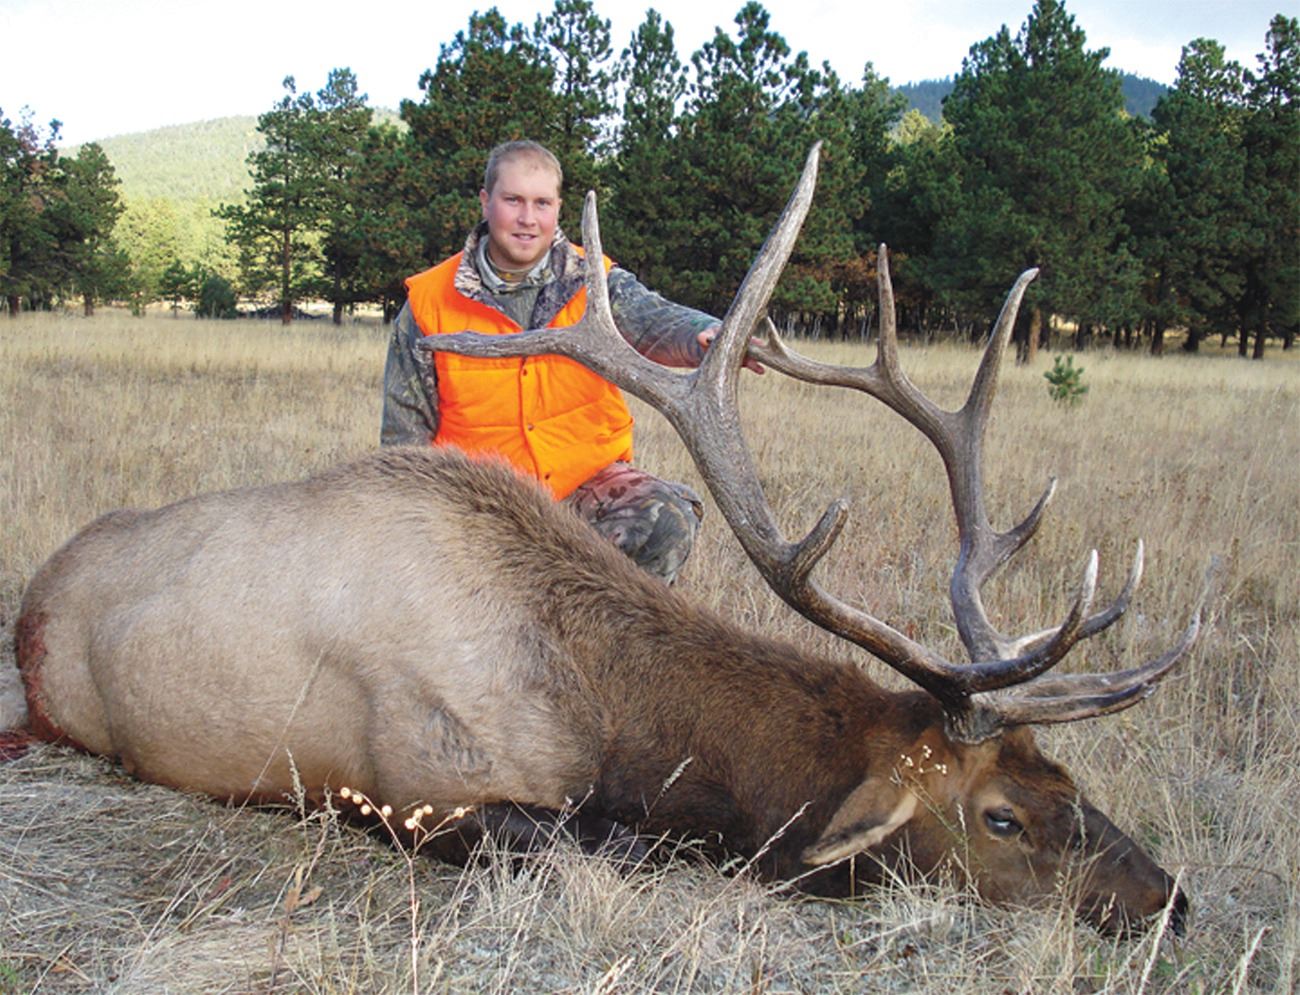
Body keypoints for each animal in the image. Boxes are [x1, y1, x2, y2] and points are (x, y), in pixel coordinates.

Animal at [10, 145, 1201, 935]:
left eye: (1068, 775)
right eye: (1002, 817)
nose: (1169, 896)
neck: (605, 712)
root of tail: (35, 593)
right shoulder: (423, 788)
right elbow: (613, 844)